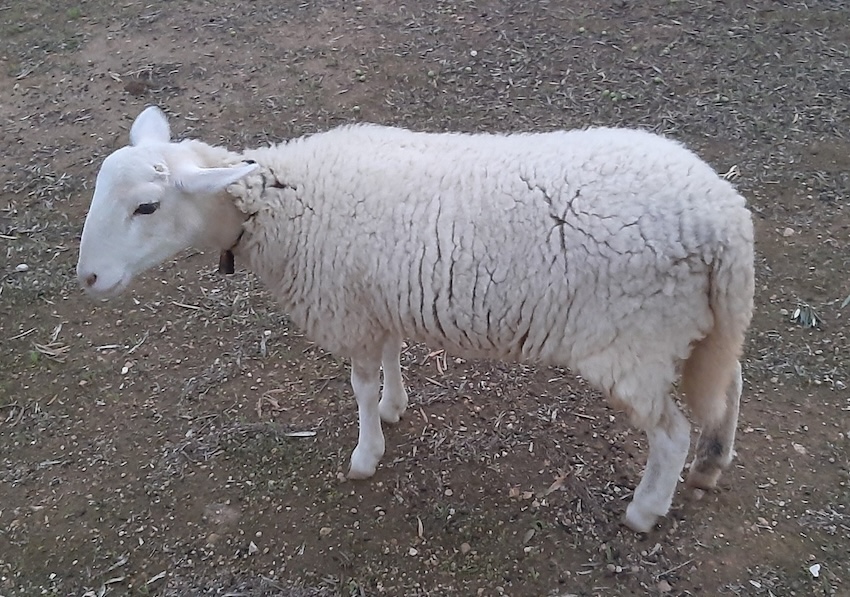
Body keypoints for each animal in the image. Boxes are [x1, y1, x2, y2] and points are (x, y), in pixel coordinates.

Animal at [76, 106, 755, 532]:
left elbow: (358, 385)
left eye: (147, 206)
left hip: (632, 339)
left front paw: (365, 453)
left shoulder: (347, 308)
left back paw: (645, 511)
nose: (87, 279)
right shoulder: (377, 300)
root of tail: (723, 217)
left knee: (670, 432)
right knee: (729, 386)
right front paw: (394, 409)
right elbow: (391, 359)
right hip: (700, 325)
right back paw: (712, 464)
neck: (276, 207)